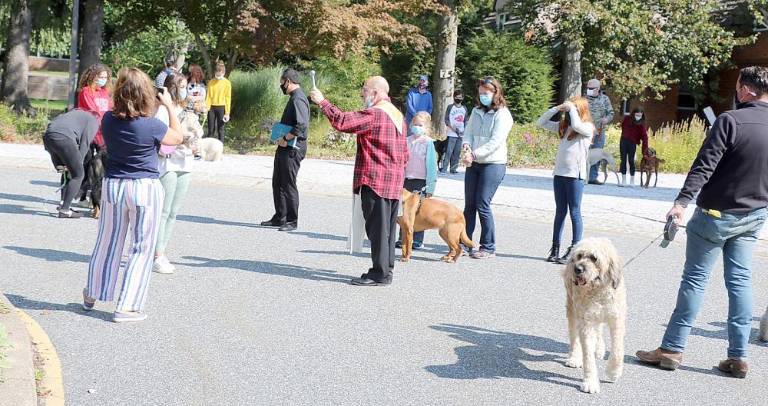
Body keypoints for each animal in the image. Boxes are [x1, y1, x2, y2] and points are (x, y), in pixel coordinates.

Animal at [560, 238, 628, 394]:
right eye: (579, 256)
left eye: (594, 258)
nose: (577, 269)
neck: (598, 290)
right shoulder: (586, 323)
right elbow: (587, 356)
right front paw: (590, 382)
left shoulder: (616, 320)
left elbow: (617, 349)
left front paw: (613, 372)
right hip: (573, 311)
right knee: (574, 338)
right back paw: (574, 358)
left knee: (599, 331)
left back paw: (599, 349)